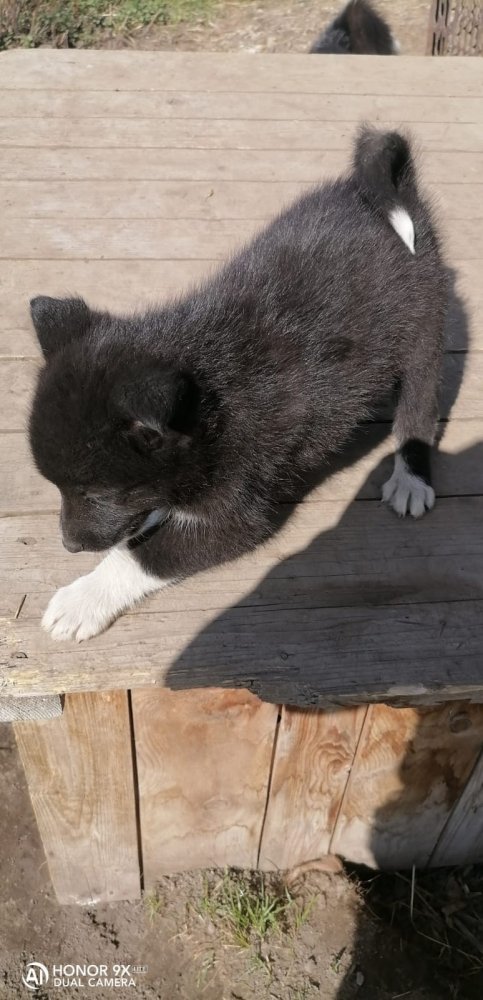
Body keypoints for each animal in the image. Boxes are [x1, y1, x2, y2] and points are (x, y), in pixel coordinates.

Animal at [29, 127, 447, 642]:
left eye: (95, 494)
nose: (68, 545)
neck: (210, 393)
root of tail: (390, 191)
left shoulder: (241, 509)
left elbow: (142, 557)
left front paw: (83, 598)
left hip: (423, 327)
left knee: (420, 404)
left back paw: (410, 477)